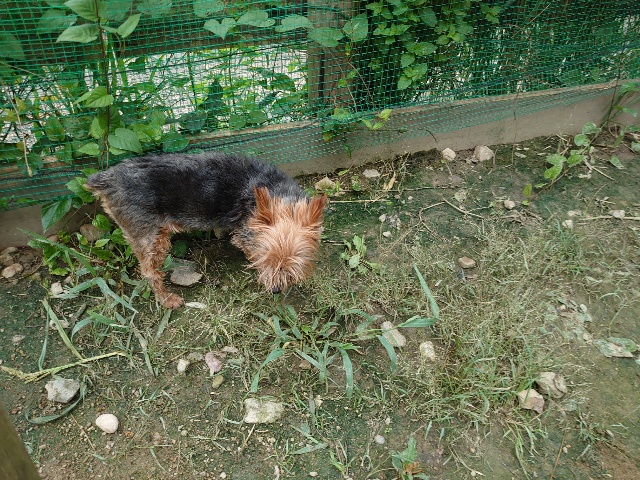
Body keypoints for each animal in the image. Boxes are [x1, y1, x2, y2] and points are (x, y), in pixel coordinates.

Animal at [84, 152, 326, 309]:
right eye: (264, 257)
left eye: (295, 263)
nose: (275, 290)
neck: (278, 194)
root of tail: (108, 179)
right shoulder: (245, 233)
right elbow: (242, 243)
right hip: (150, 236)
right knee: (150, 271)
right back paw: (167, 299)